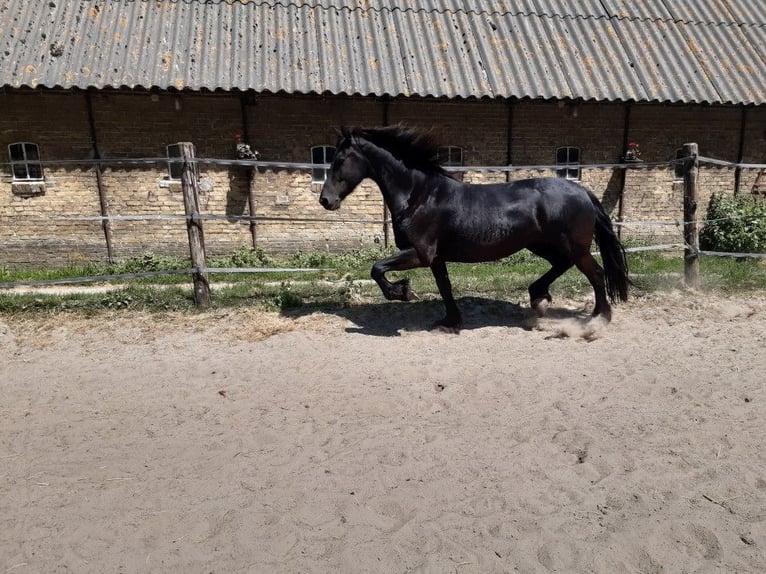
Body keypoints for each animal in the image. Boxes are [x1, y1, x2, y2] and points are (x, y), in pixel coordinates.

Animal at [319, 125, 630, 332]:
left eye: (339, 160)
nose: (325, 200)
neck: (418, 195)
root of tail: (582, 191)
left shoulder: (420, 253)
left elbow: (377, 268)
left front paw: (403, 292)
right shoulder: (436, 258)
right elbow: (445, 287)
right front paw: (449, 322)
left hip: (574, 246)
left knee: (596, 273)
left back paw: (598, 319)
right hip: (542, 245)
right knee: (561, 265)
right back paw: (539, 298)